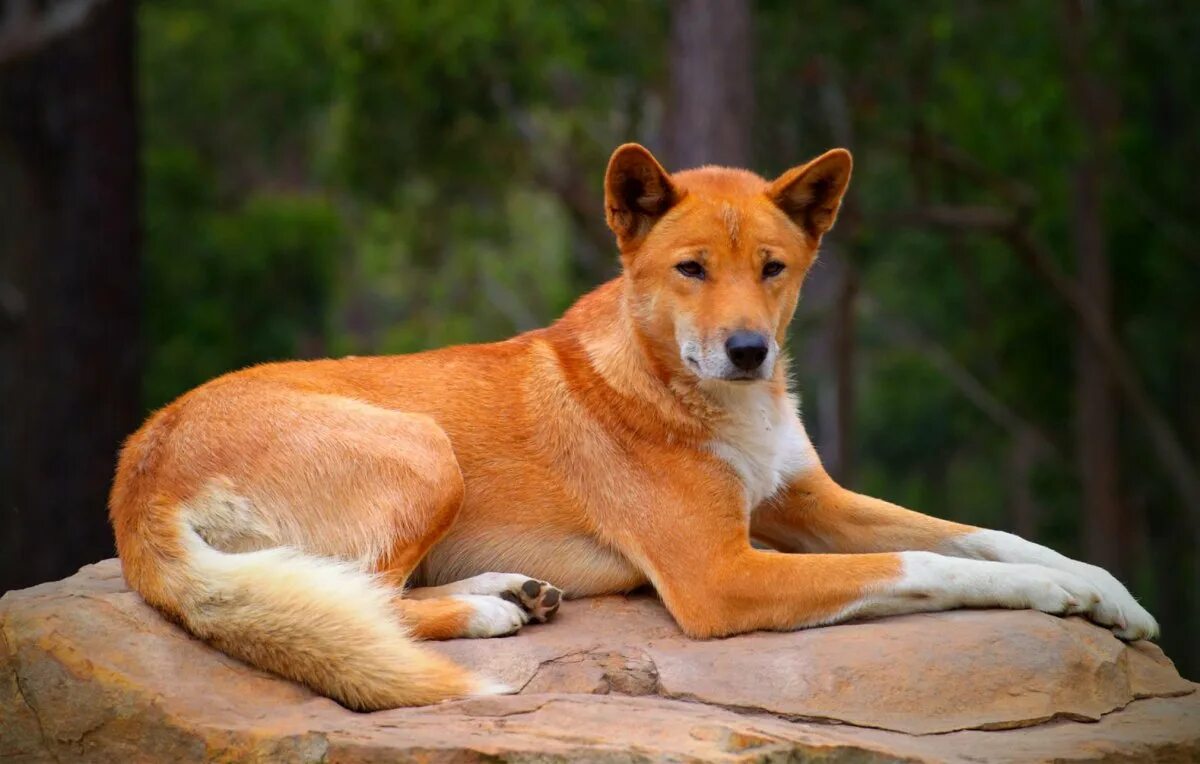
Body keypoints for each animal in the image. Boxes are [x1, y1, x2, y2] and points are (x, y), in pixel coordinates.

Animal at [108, 142, 1156, 710]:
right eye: (691, 269)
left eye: (772, 268)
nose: (748, 350)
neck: (707, 398)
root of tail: (135, 467)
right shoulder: (720, 578)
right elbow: (931, 564)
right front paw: (1051, 598)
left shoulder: (807, 502)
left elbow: (989, 535)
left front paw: (1106, 594)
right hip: (424, 449)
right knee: (359, 595)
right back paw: (489, 609)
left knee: (349, 590)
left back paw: (511, 590)